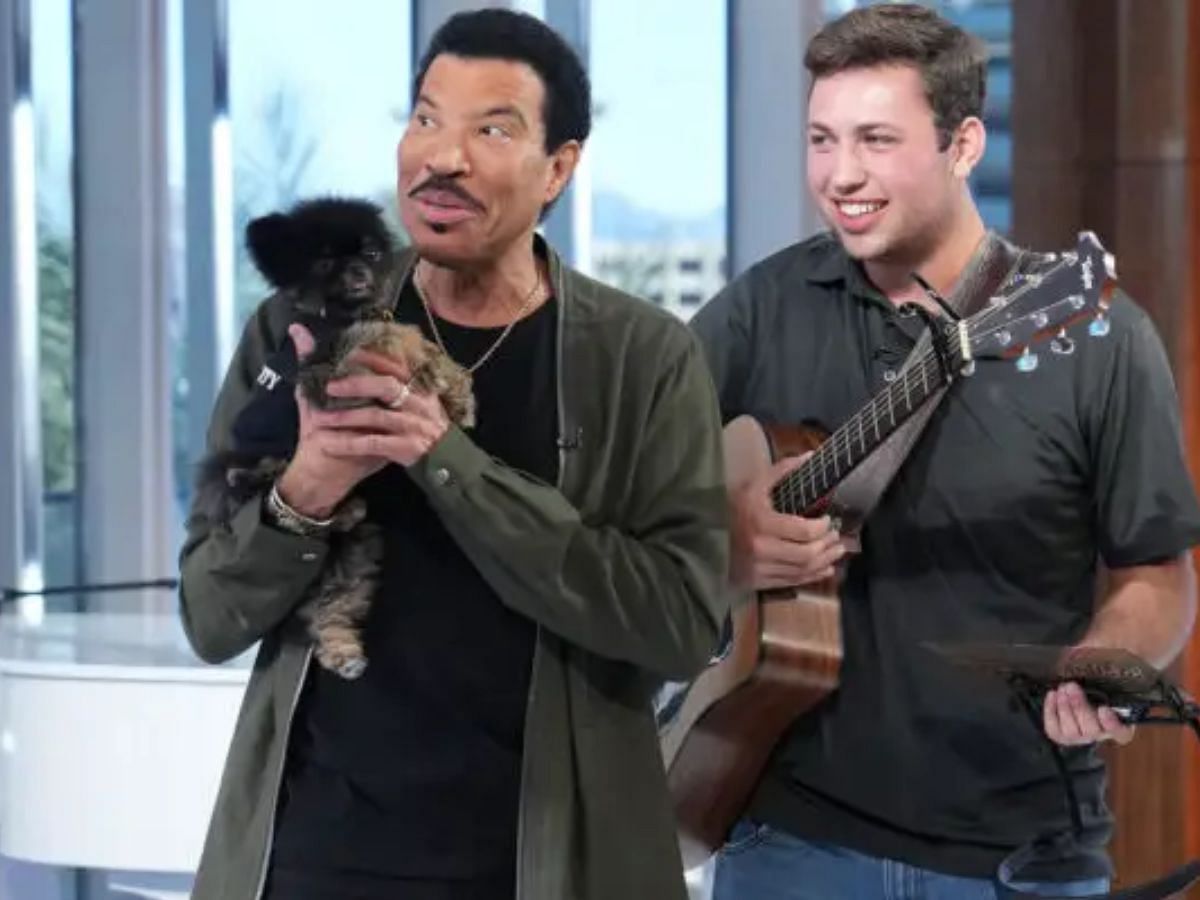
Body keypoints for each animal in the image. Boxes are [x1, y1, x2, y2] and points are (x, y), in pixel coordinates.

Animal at [194, 195, 475, 676]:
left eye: (371, 253)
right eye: (324, 262)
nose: (358, 271)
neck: (342, 314)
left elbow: (409, 335)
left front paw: (454, 390)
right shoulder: (327, 370)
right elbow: (391, 336)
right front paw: (439, 379)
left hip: (353, 556)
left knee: (333, 602)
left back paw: (342, 650)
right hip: (258, 464)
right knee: (252, 479)